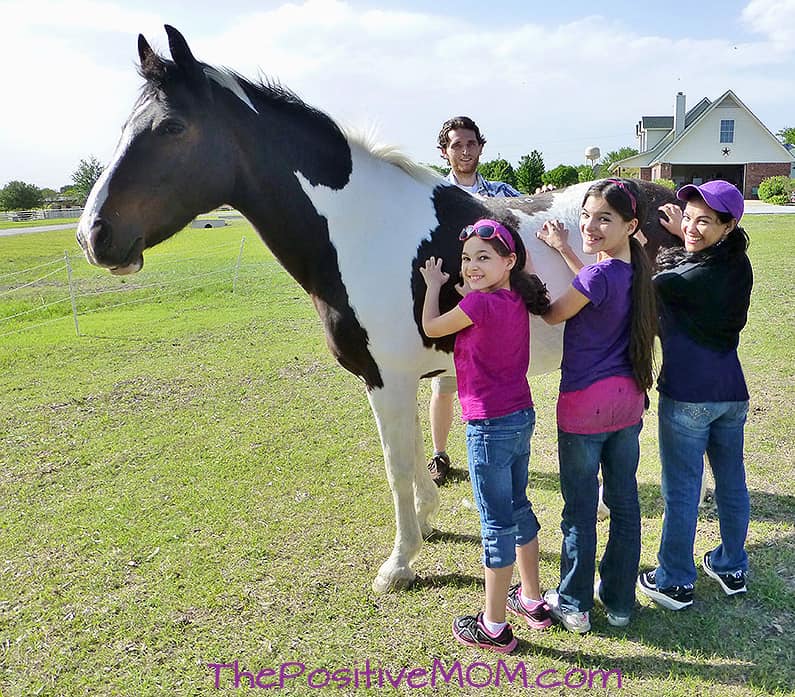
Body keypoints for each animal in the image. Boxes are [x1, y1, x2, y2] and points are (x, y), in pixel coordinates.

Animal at [77, 27, 680, 592]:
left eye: (171, 127)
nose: (92, 235)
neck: (363, 227)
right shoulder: (402, 377)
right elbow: (411, 457)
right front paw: (427, 524)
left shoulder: (385, 377)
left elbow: (396, 466)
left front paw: (399, 563)